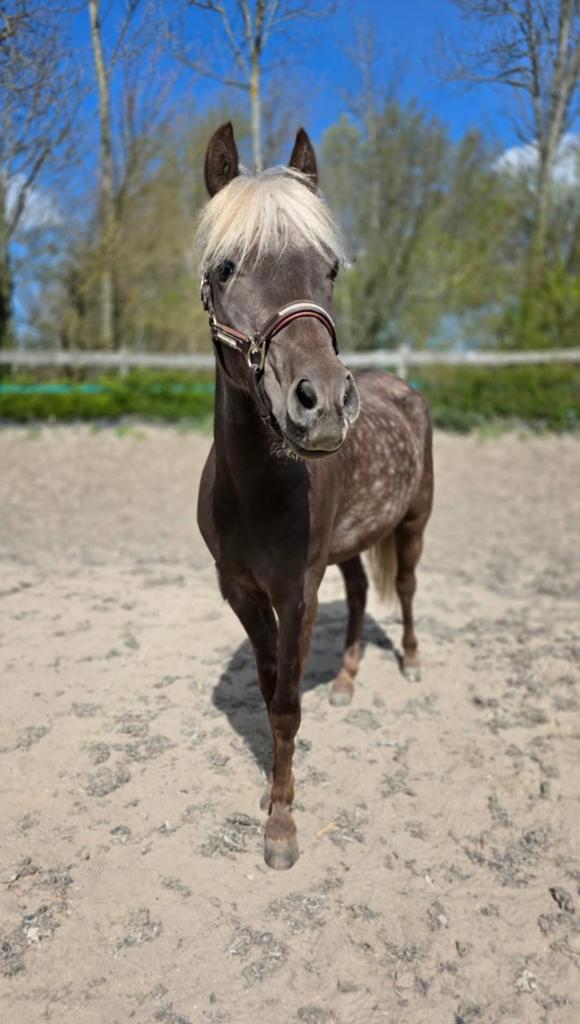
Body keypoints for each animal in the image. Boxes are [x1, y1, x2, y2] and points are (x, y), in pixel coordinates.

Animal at [196, 122, 434, 870]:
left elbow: (286, 703)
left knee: (404, 588)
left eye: (330, 270)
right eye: (225, 268)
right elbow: (271, 685)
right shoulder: (241, 591)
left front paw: (282, 826)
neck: (255, 489)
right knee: (358, 594)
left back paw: (410, 664)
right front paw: (275, 792)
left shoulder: (296, 589)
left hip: (414, 524)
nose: (324, 404)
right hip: (352, 544)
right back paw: (350, 678)